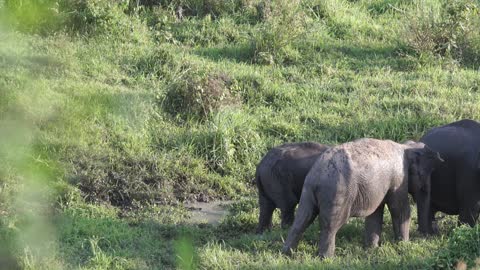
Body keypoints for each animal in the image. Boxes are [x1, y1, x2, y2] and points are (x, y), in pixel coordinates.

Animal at [282, 138, 442, 258]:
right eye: (423, 175)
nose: (426, 236)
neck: (405, 146)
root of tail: (318, 174)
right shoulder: (398, 179)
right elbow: (400, 210)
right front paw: (404, 246)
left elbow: (375, 213)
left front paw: (372, 249)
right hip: (338, 193)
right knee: (331, 225)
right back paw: (327, 258)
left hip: (308, 191)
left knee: (302, 218)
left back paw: (287, 253)